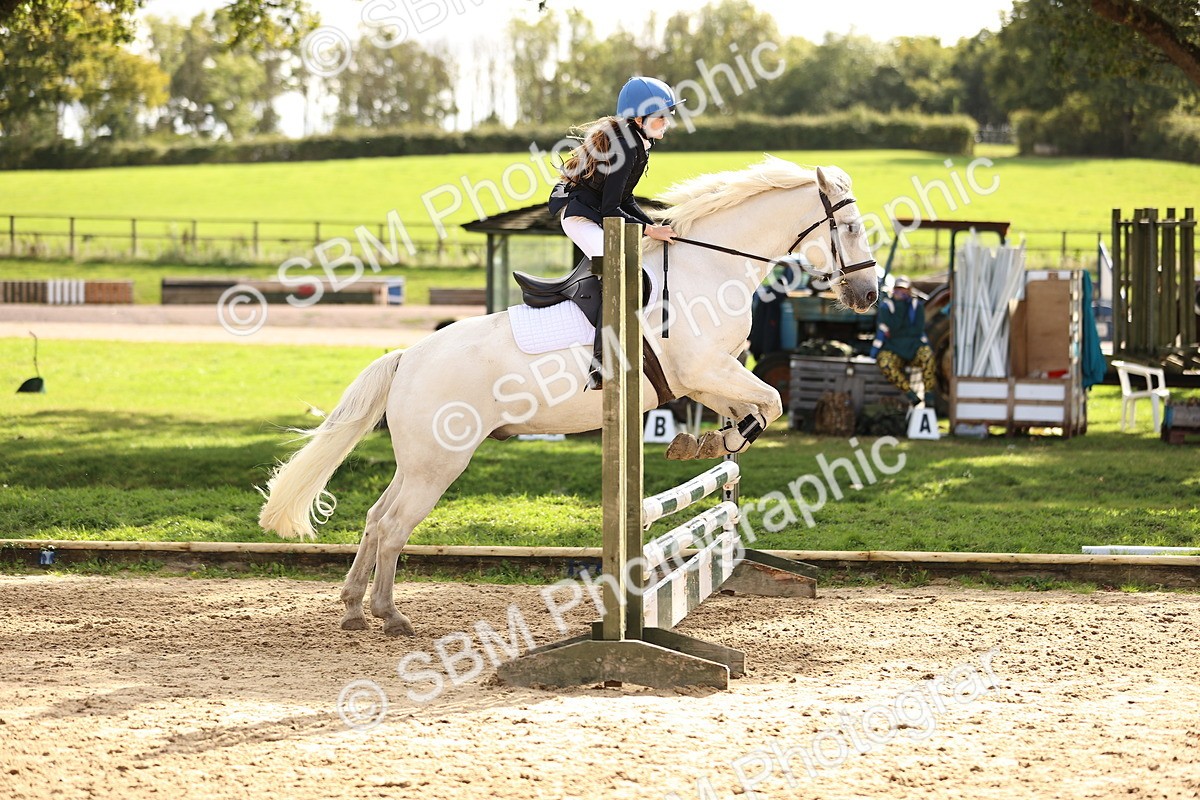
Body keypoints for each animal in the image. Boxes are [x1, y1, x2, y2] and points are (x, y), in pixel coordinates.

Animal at [258, 156, 879, 636]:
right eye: (849, 227)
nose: (870, 295)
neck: (709, 266)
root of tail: (408, 357)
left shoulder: (705, 377)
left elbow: (751, 410)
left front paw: (705, 444)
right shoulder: (703, 367)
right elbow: (770, 402)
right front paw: (711, 444)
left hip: (418, 463)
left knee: (375, 518)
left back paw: (353, 610)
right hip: (439, 463)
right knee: (391, 527)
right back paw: (388, 616)